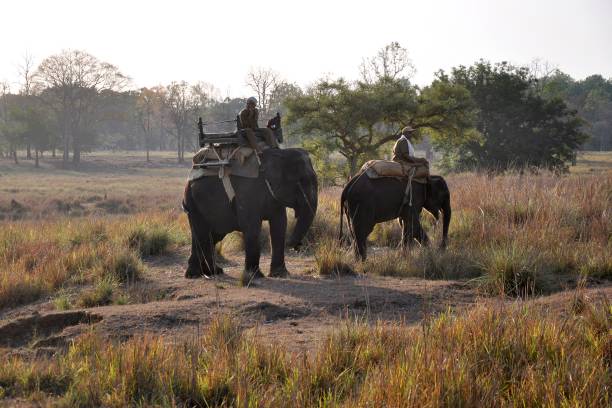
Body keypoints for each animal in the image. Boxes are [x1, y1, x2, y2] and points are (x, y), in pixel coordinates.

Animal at [182, 148, 318, 278]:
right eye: (299, 182)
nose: (296, 246)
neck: (278, 154)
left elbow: (279, 224)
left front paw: (280, 275)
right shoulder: (247, 192)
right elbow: (252, 226)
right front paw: (255, 276)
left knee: (213, 235)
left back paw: (212, 272)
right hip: (193, 201)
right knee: (202, 234)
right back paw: (195, 274)